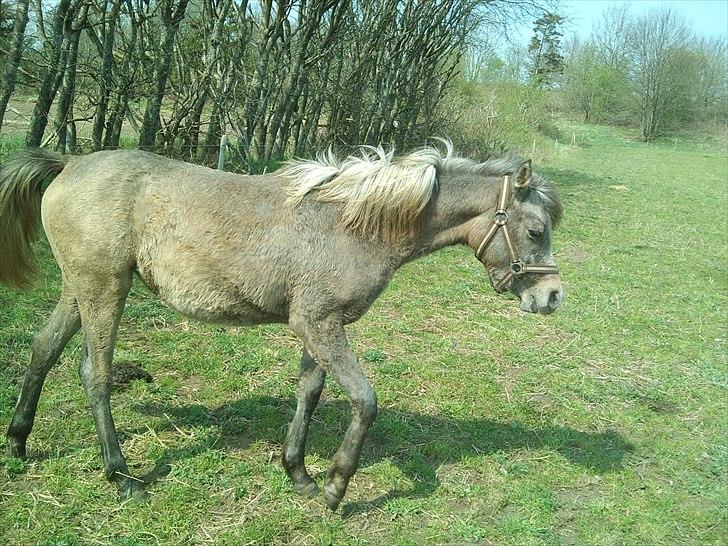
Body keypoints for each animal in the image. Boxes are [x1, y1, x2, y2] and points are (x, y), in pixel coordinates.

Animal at [0, 142, 564, 508]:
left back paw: (19, 443)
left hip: (80, 290)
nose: (552, 296)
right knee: (94, 374)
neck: (351, 224)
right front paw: (335, 488)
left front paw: (299, 473)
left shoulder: (319, 326)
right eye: (536, 229)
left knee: (43, 351)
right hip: (104, 291)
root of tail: (70, 162)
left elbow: (308, 394)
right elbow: (365, 400)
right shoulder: (318, 324)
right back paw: (122, 477)